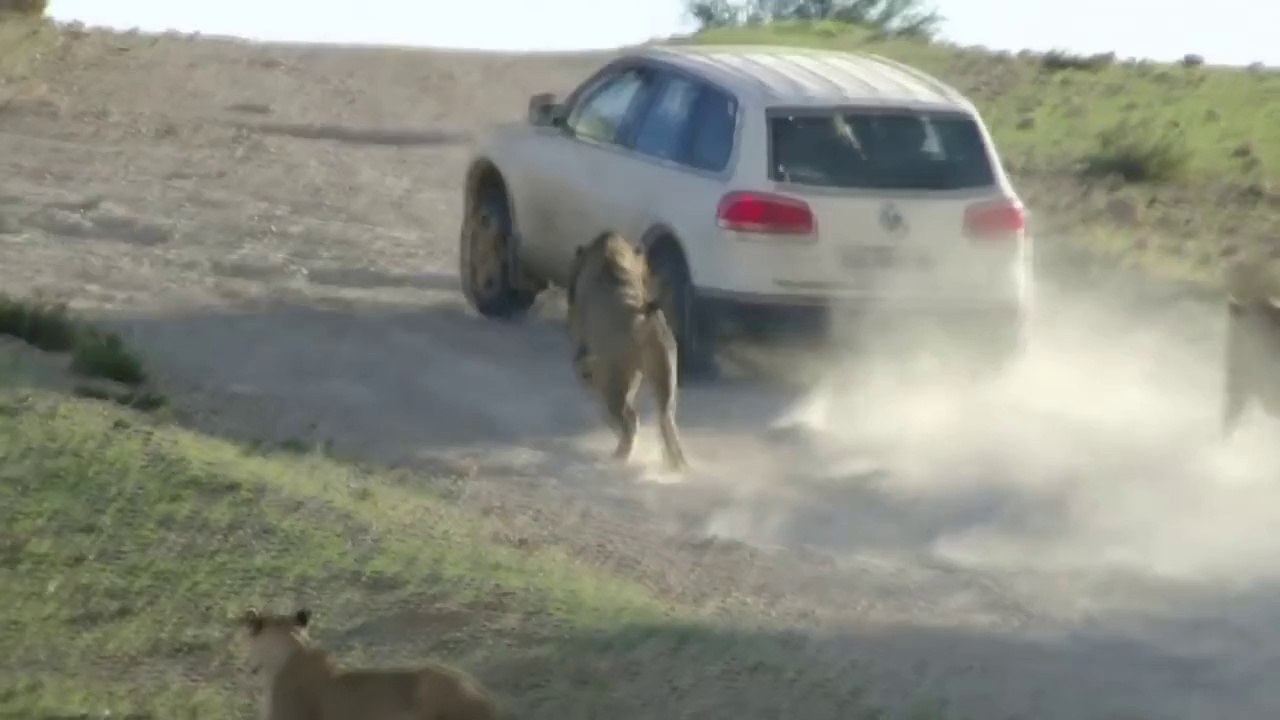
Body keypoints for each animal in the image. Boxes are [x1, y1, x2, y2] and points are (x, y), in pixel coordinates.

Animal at [565, 231, 688, 470]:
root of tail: (644, 320)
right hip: (664, 372)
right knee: (666, 418)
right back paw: (676, 464)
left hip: (618, 380)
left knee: (629, 419)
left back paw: (619, 455)